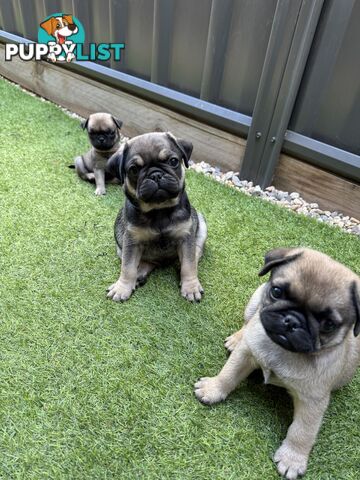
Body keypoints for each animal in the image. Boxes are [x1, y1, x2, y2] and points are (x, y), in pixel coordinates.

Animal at [105, 131, 207, 302]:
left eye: (173, 161)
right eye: (134, 169)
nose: (156, 175)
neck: (159, 210)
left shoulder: (186, 237)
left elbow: (189, 264)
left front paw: (191, 286)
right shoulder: (131, 241)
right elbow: (128, 267)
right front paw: (122, 287)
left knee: (195, 254)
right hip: (120, 245)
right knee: (144, 263)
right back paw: (139, 274)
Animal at [194, 249, 360, 478]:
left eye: (328, 324)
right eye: (276, 291)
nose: (292, 321)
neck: (283, 351)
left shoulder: (313, 401)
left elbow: (302, 431)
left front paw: (292, 459)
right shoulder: (245, 354)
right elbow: (228, 374)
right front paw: (212, 389)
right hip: (254, 301)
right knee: (248, 322)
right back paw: (237, 338)